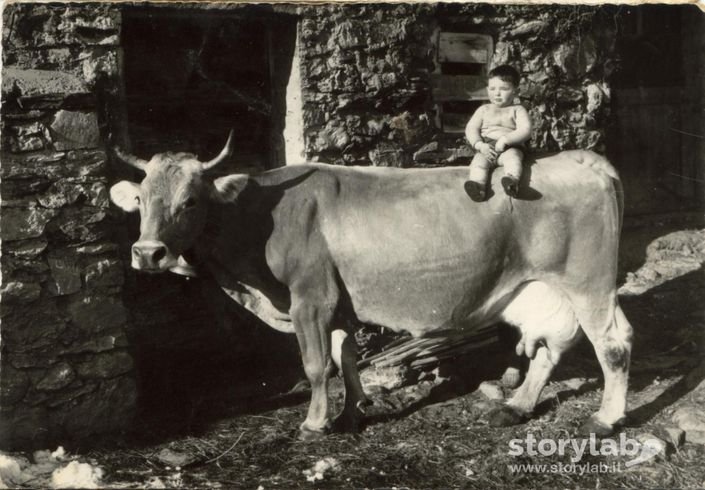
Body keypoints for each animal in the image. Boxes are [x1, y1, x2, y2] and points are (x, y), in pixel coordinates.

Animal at [111, 133, 632, 440]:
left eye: (190, 201)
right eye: (140, 200)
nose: (148, 253)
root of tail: (580, 159)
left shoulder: (310, 298)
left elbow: (317, 364)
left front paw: (315, 423)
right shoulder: (338, 302)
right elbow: (345, 358)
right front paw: (352, 412)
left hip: (589, 282)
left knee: (613, 344)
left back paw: (605, 418)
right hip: (543, 289)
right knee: (551, 345)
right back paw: (518, 406)